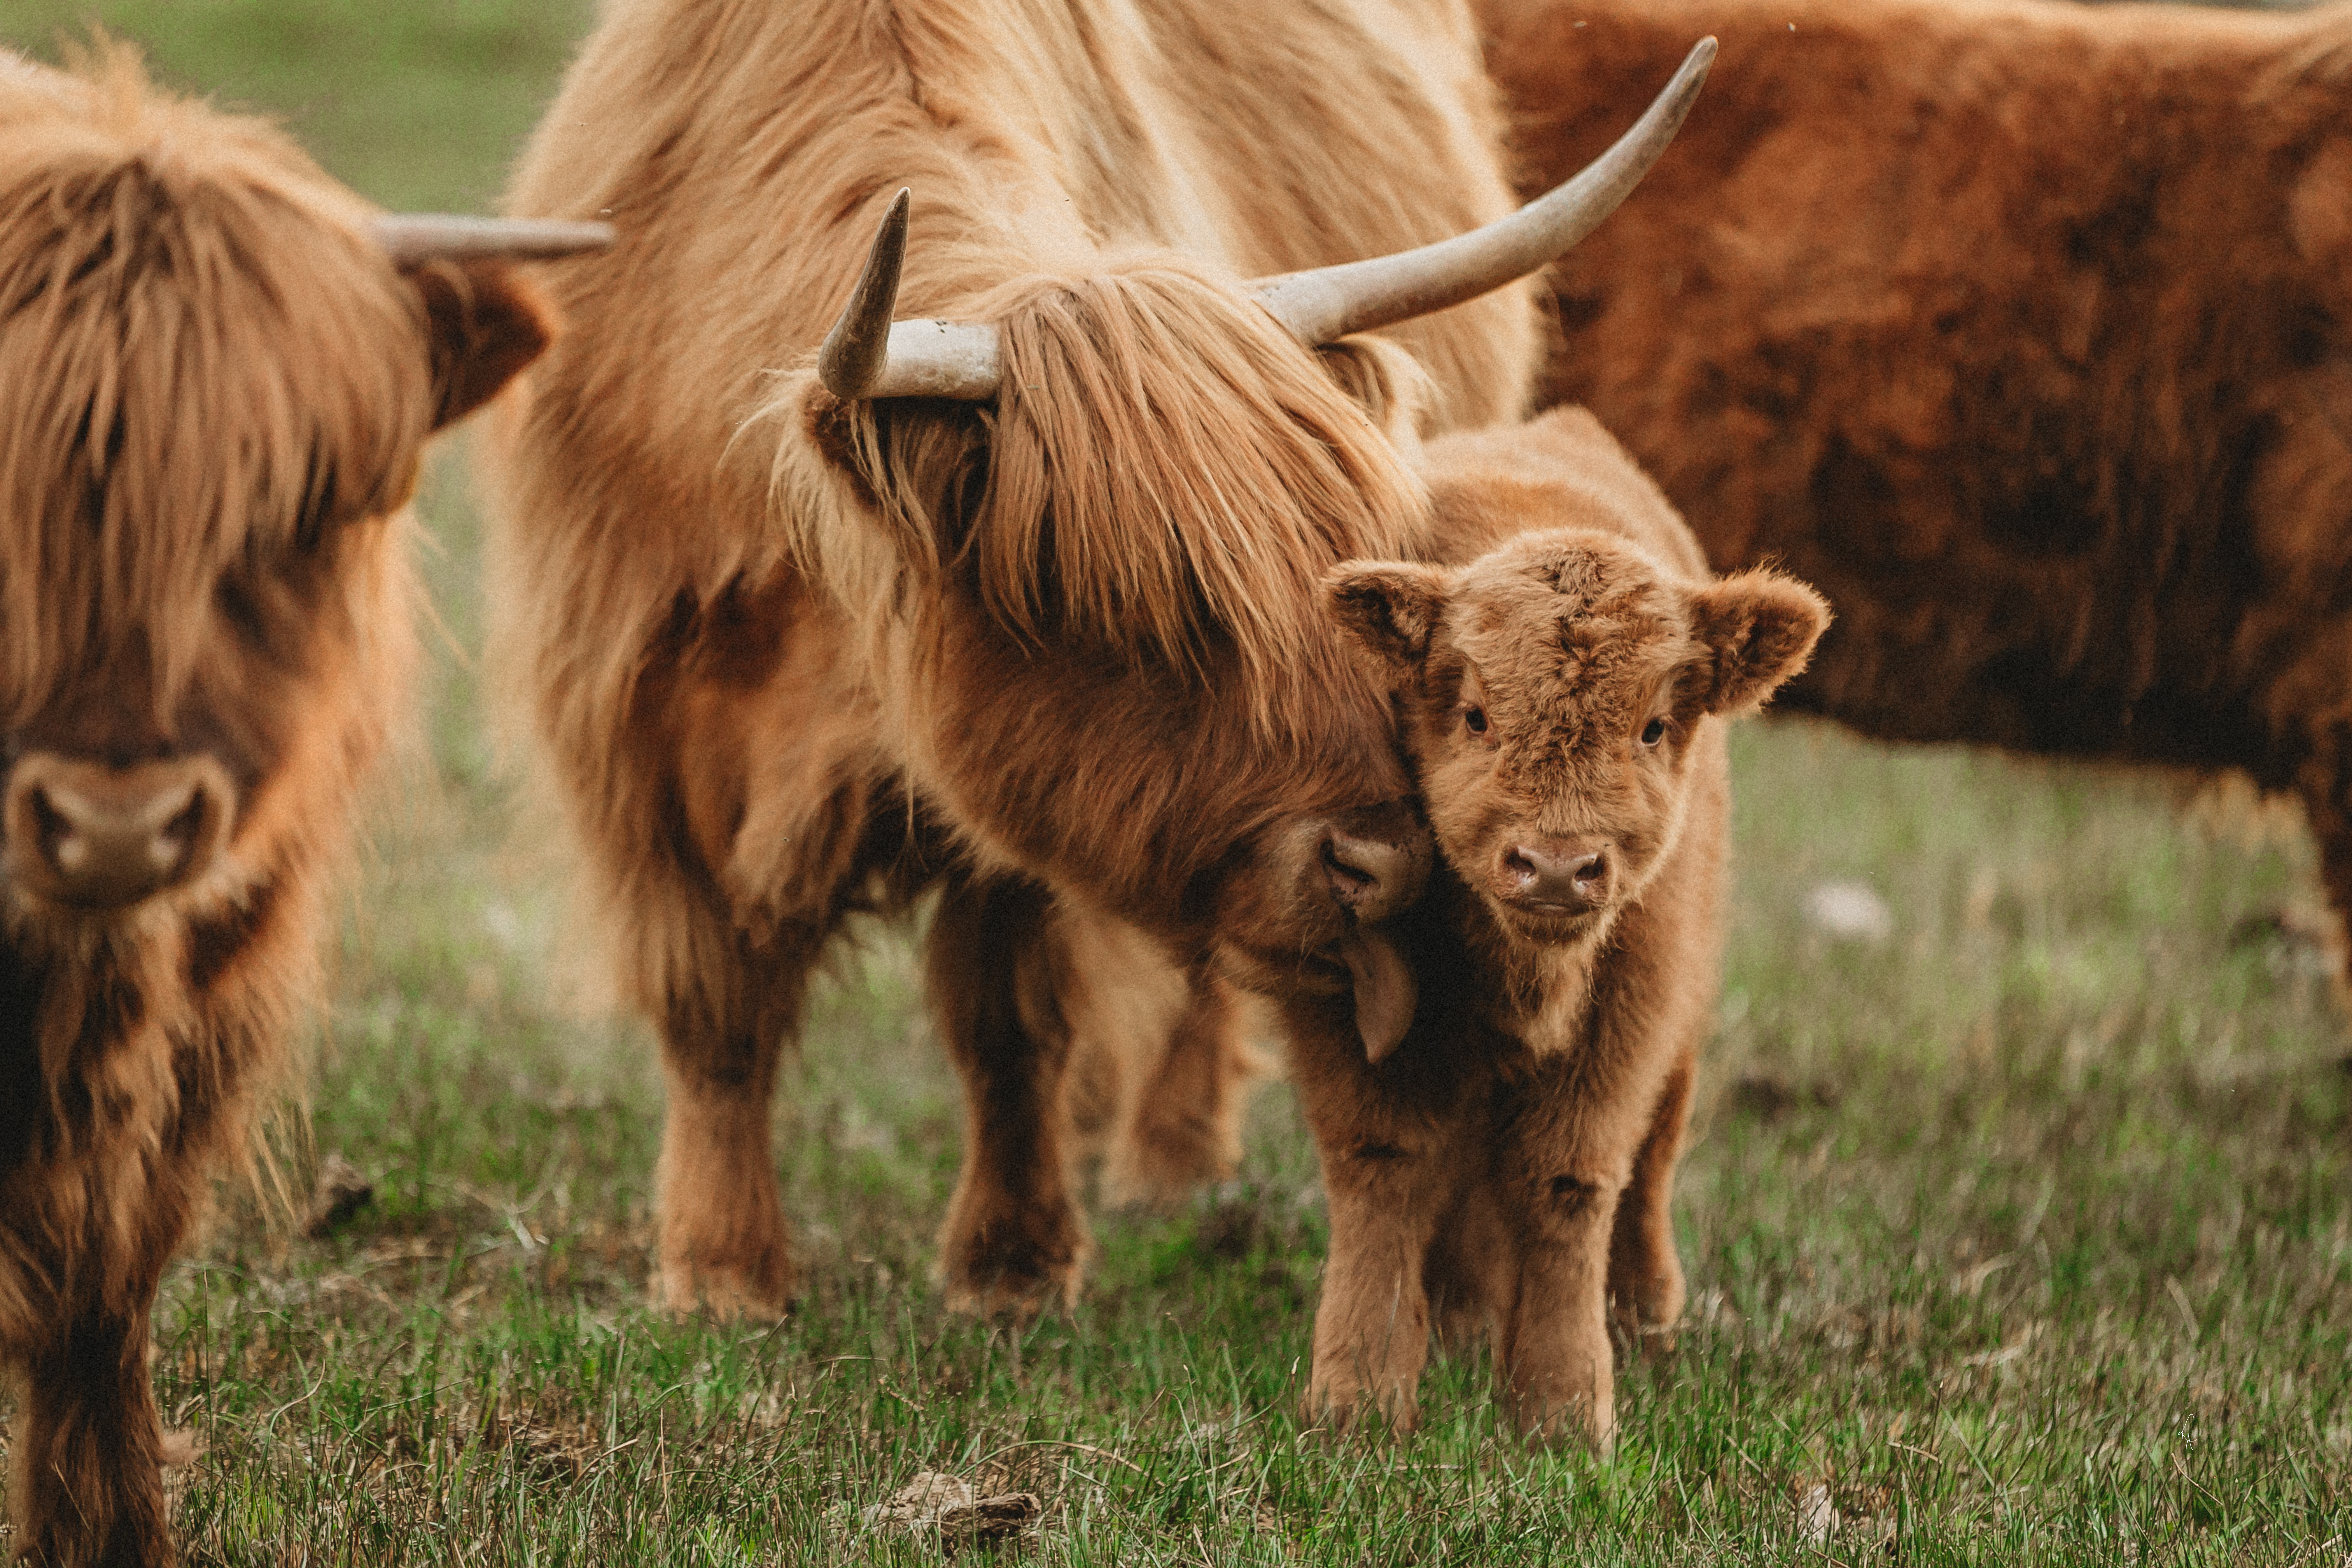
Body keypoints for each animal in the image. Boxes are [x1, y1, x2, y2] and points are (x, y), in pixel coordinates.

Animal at [481, 0, 1714, 1319]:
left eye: (1340, 572)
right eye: (1128, 616)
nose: (1385, 863)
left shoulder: (1018, 801)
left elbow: (1007, 1016)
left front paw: (1011, 1261)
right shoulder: (632, 729)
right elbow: (716, 1014)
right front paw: (719, 1269)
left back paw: (1167, 1161)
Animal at [1304, 408, 1827, 1443]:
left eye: (1653, 726)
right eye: (1474, 713)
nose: (1553, 866)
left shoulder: (1632, 1012)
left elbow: (1568, 1181)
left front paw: (1561, 1406)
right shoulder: (1351, 1004)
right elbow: (1385, 1171)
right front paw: (1357, 1399)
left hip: (1682, 1021)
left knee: (1652, 1156)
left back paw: (1643, 1314)